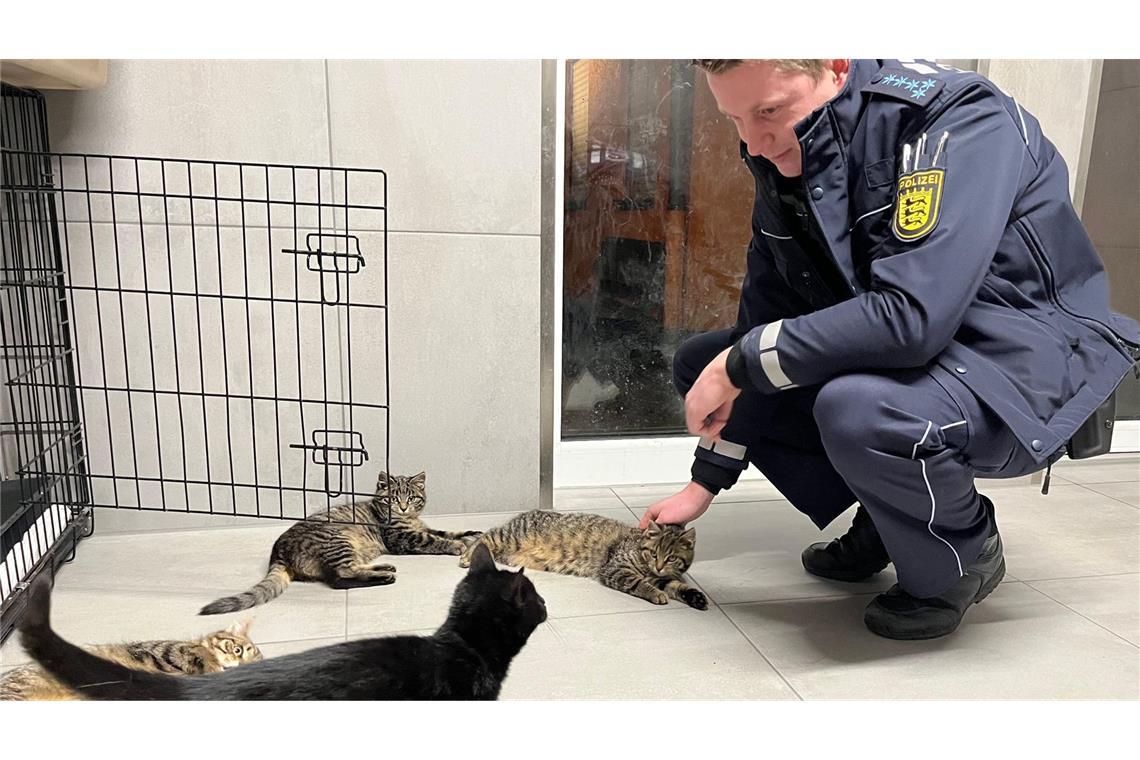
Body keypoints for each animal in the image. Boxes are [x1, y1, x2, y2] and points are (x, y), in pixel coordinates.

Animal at [200, 471, 481, 615]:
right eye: (392, 498)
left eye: (411, 497)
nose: (402, 507)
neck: (408, 518)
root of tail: (278, 550)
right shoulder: (402, 537)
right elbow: (435, 540)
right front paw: (457, 546)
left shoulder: (420, 527)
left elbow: (447, 531)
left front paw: (471, 535)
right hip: (338, 541)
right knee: (340, 577)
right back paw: (384, 576)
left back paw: (383, 569)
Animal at [458, 510, 706, 610]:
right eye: (654, 554)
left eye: (671, 558)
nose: (659, 566)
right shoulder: (616, 569)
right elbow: (639, 584)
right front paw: (655, 593)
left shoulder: (660, 576)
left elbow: (675, 584)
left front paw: (695, 596)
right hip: (510, 536)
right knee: (484, 537)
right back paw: (466, 556)